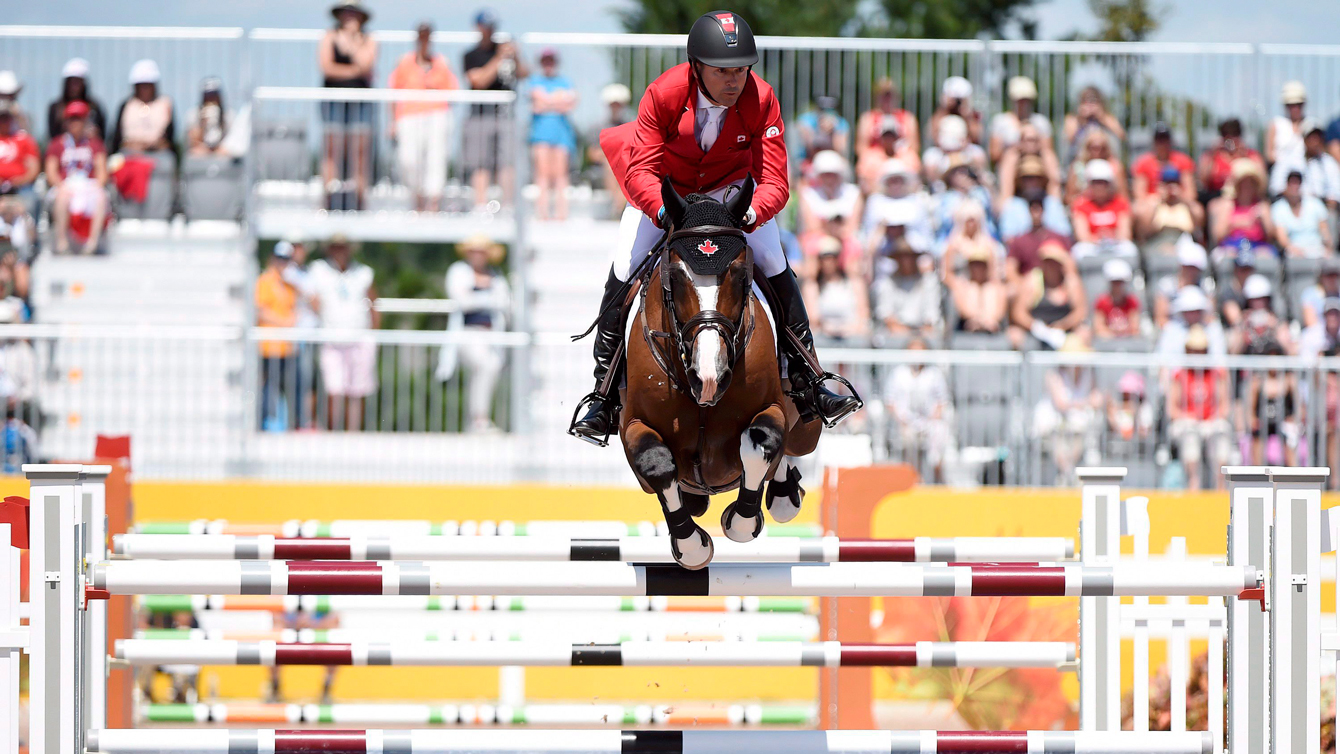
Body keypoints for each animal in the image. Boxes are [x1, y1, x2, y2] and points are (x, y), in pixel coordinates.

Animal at [621, 175, 820, 567]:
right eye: (674, 276)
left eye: (741, 274)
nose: (709, 377)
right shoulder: (632, 425)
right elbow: (656, 463)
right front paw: (691, 547)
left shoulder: (772, 409)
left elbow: (762, 439)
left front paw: (741, 521)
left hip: (808, 430)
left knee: (788, 450)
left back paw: (785, 492)